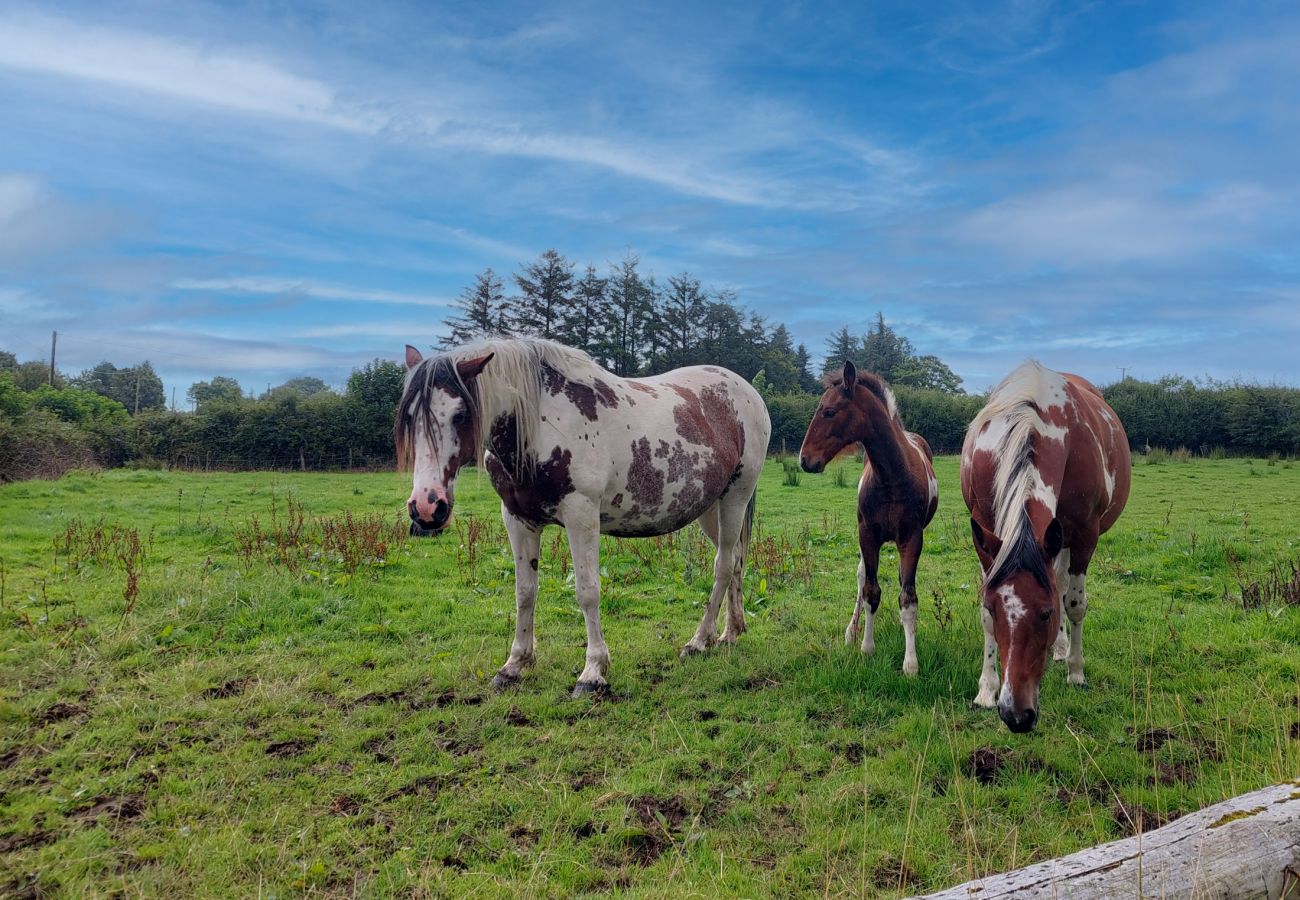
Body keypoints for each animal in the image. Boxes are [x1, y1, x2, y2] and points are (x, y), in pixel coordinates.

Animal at [390, 338, 764, 697]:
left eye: (461, 414)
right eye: (408, 417)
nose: (427, 507)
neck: (541, 425)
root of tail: (747, 391)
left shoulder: (581, 516)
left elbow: (587, 591)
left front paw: (593, 671)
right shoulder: (517, 519)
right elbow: (525, 591)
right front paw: (514, 665)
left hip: (735, 498)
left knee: (723, 565)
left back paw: (699, 641)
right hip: (710, 508)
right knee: (736, 560)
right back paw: (731, 631)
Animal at [800, 358, 935, 676]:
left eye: (829, 411)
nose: (804, 459)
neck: (892, 476)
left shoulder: (912, 538)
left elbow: (908, 598)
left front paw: (911, 663)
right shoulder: (868, 536)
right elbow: (870, 591)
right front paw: (866, 647)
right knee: (861, 578)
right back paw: (851, 631)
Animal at [961, 358, 1133, 733]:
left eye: (1046, 613)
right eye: (996, 610)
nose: (1015, 715)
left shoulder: (1084, 535)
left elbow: (1074, 604)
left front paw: (1076, 671)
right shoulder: (985, 534)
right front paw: (986, 689)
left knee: (1066, 585)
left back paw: (1064, 652)